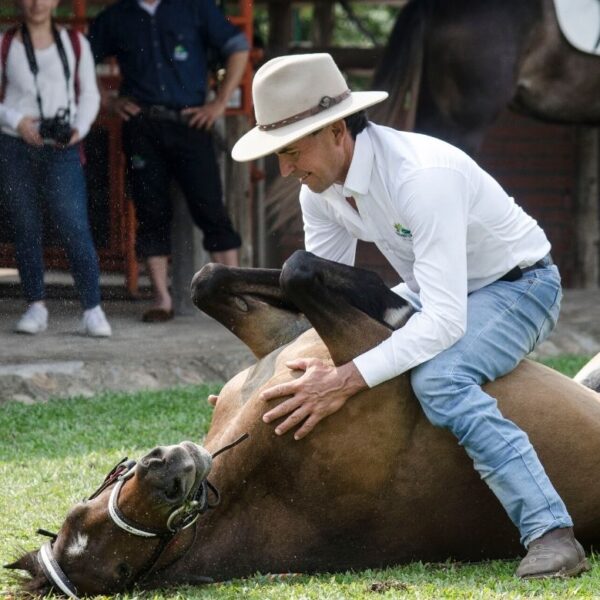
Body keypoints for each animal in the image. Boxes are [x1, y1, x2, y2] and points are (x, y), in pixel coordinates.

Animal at [4, 250, 600, 596]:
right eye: (121, 572)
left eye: (81, 508)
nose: (167, 469)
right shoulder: (359, 349)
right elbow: (300, 273)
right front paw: (401, 306)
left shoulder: (281, 335)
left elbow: (212, 277)